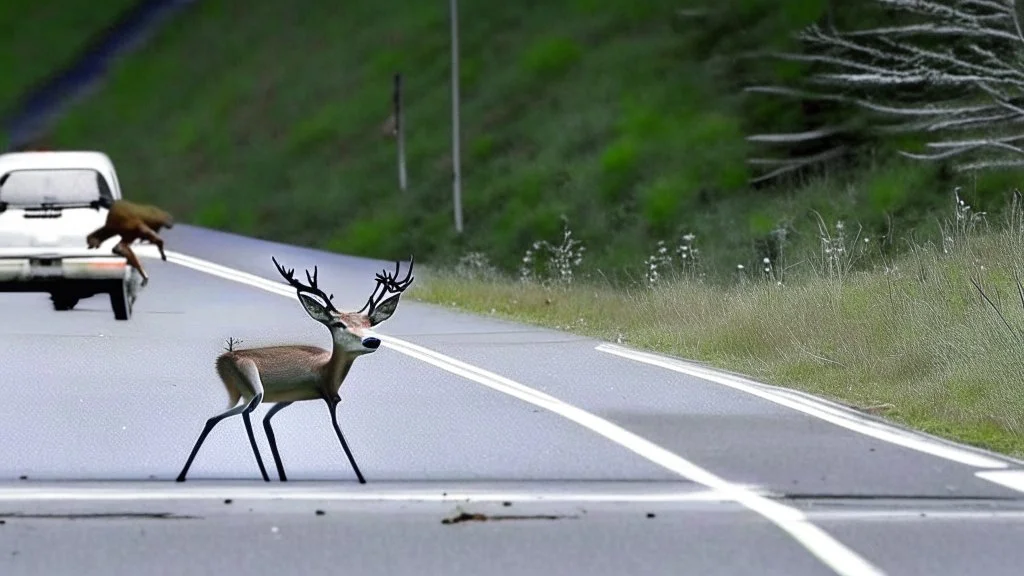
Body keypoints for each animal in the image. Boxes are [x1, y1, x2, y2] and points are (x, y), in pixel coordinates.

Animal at [174, 253, 413, 481]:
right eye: (339, 324)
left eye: (370, 324)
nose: (372, 341)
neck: (326, 371)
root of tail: (221, 360)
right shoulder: (328, 397)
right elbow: (340, 435)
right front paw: (361, 477)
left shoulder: (289, 398)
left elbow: (267, 422)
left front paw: (282, 474)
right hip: (253, 383)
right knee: (241, 414)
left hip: (243, 392)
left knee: (214, 418)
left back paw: (184, 474)